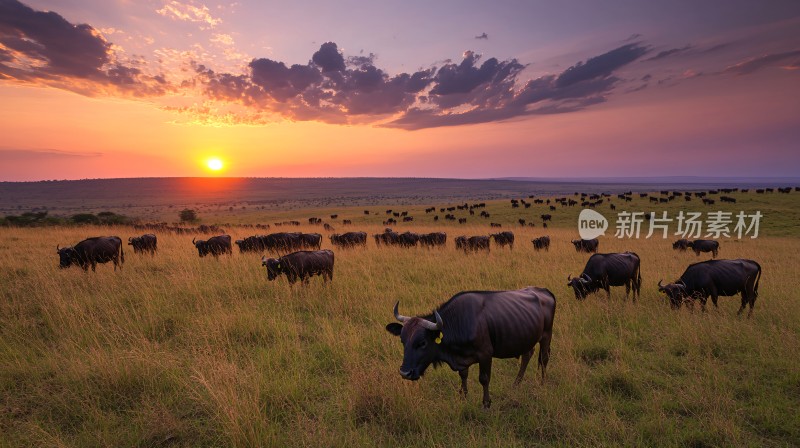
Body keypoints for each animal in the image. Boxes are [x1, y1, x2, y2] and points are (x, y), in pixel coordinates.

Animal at [388, 288, 556, 408]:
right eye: (402, 340)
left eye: (422, 343)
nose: (405, 373)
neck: (460, 321)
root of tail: (543, 290)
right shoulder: (462, 359)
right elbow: (463, 375)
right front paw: (463, 396)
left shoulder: (485, 355)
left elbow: (484, 379)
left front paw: (486, 403)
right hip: (527, 338)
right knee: (527, 355)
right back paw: (516, 384)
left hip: (546, 335)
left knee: (544, 358)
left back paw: (542, 383)